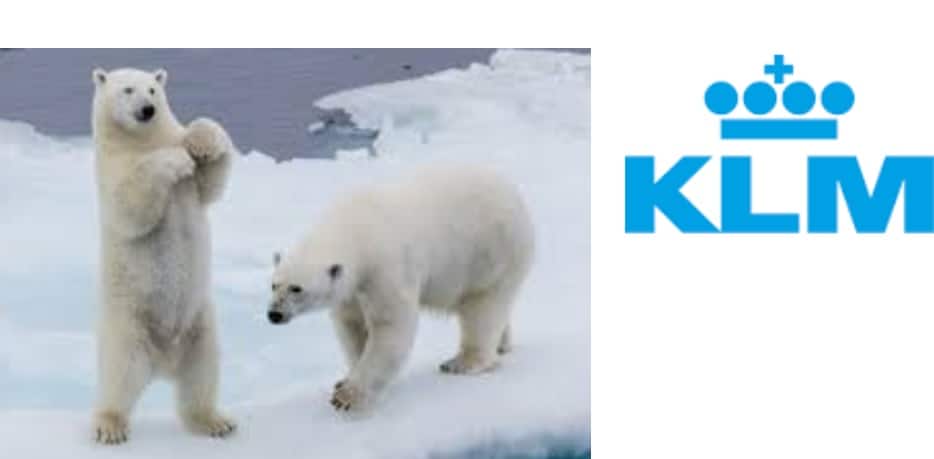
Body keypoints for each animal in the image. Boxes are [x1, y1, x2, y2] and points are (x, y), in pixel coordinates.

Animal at [91, 68, 236, 444]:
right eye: (128, 90)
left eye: (154, 90)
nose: (147, 110)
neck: (142, 140)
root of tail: (163, 364)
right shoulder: (112, 171)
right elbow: (131, 205)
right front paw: (176, 160)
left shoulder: (193, 185)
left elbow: (211, 181)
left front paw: (201, 143)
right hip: (128, 326)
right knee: (120, 374)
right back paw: (110, 425)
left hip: (199, 326)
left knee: (202, 372)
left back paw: (214, 421)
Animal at [267, 165, 535, 411]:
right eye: (273, 285)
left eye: (297, 288)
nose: (274, 314)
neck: (356, 227)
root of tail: (515, 196)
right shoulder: (352, 289)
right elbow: (352, 325)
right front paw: (344, 380)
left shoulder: (385, 268)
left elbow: (390, 326)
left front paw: (349, 396)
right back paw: (502, 345)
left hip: (490, 255)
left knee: (482, 309)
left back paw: (462, 362)